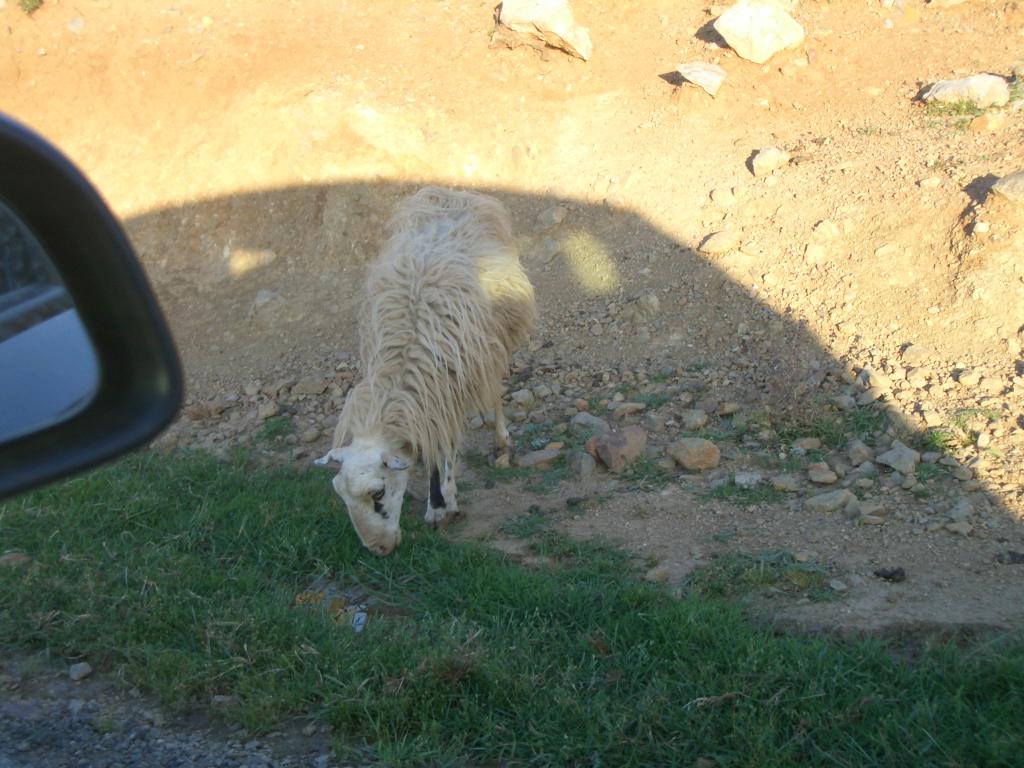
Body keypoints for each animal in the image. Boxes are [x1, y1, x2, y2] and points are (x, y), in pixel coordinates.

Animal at [315, 186, 537, 556]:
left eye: (378, 493)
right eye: (341, 497)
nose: (378, 550)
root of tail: (453, 194)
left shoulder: (447, 389)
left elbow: (442, 449)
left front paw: (442, 504)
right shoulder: (427, 400)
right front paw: (438, 500)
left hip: (494, 341)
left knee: (495, 388)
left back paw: (501, 439)